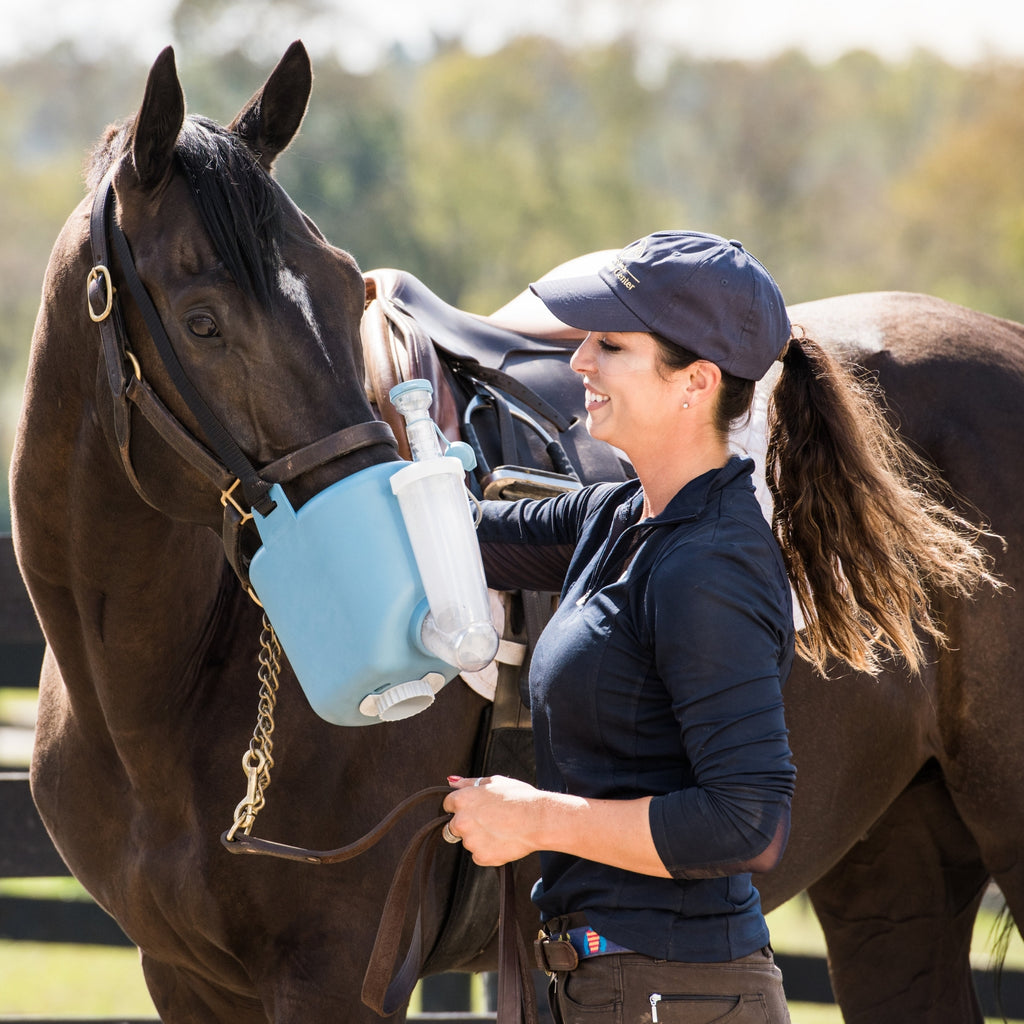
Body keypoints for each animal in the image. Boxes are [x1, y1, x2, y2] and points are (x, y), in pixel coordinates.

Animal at [9, 41, 1024, 1024]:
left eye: (344, 291)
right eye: (203, 321)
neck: (159, 693)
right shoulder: (185, 977)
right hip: (893, 866)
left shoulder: (334, 971)